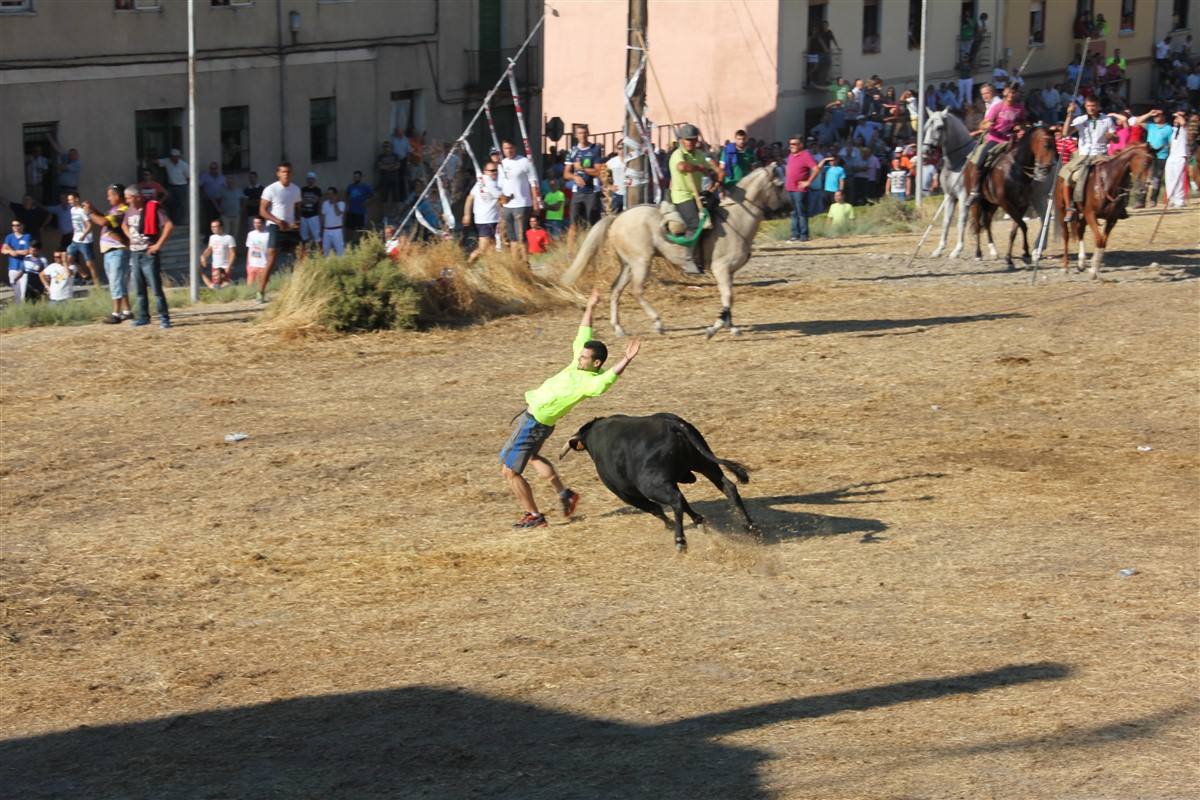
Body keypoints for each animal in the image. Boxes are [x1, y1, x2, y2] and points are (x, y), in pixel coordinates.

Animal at [556, 412, 753, 551]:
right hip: (704, 463)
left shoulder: (626, 494)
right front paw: (699, 521)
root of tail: (672, 425)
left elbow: (655, 509)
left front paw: (670, 525)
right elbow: (685, 503)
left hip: (651, 485)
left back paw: (680, 541)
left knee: (675, 500)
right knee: (728, 487)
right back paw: (750, 527)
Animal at [559, 167, 787, 340]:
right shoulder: (721, 269)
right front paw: (713, 329)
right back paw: (658, 323)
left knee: (616, 290)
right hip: (641, 262)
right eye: (779, 184)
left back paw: (619, 329)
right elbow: (727, 297)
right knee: (636, 290)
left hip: (628, 264)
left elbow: (729, 299)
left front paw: (729, 326)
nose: (786, 209)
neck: (736, 220)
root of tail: (618, 217)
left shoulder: (729, 272)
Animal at [1060, 143, 1152, 278]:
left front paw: (1094, 268)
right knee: (1066, 235)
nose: (1148, 185)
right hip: (1062, 209)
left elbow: (1103, 242)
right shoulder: (1090, 214)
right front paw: (1093, 271)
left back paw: (1081, 263)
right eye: (1145, 163)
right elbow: (1098, 240)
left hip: (1084, 216)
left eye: (1153, 162)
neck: (1108, 182)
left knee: (1080, 229)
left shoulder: (1111, 219)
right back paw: (1066, 266)